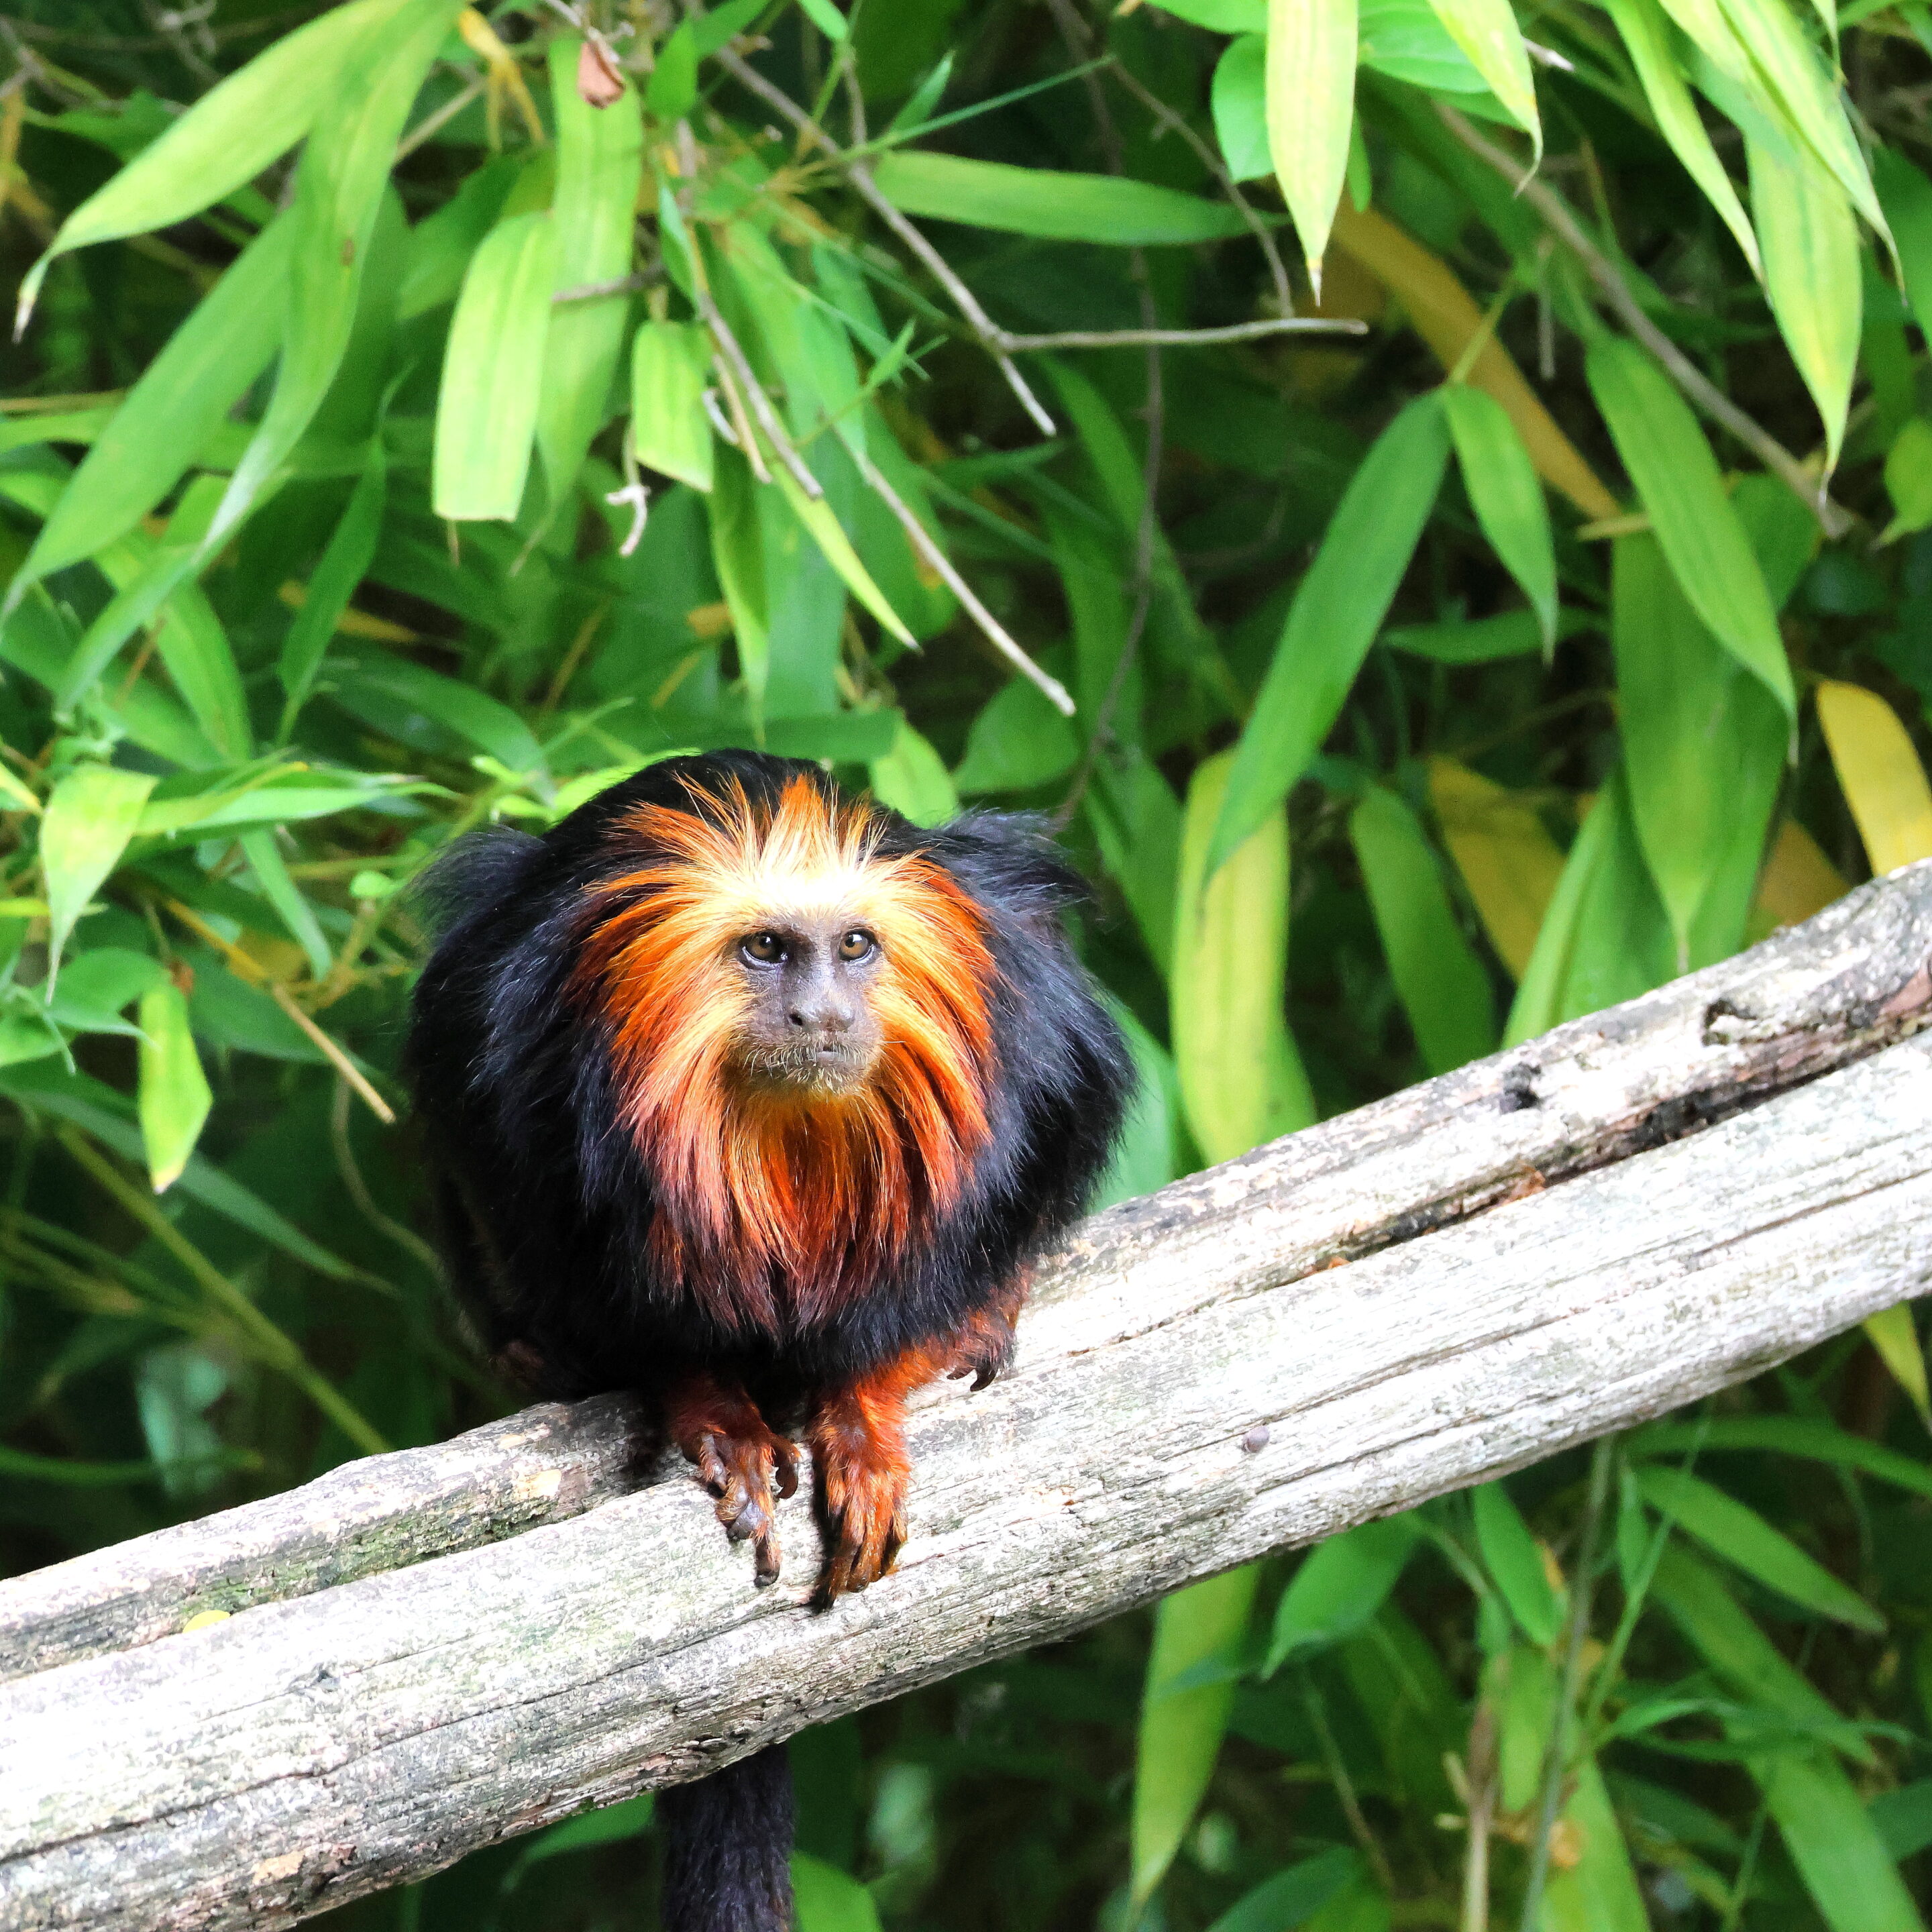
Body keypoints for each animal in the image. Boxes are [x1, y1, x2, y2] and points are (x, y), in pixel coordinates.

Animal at [405, 749, 1134, 1932]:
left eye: (855, 947)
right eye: (765, 950)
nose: (821, 1013)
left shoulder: (1030, 1008)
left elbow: (930, 1269)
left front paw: (866, 1416)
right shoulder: (508, 1053)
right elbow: (622, 1302)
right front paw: (716, 1416)